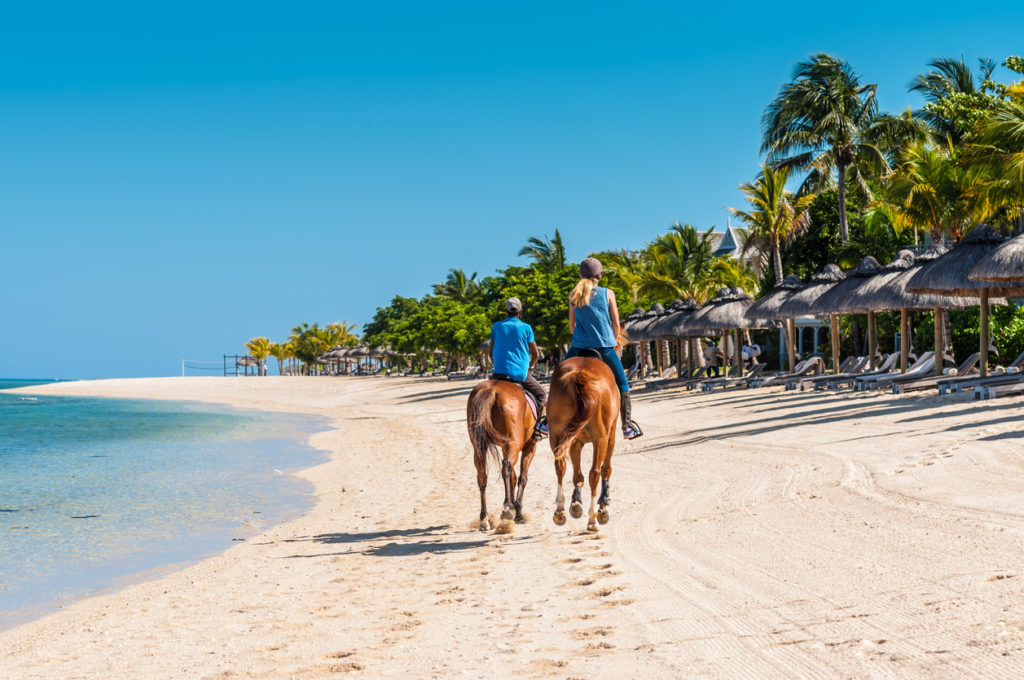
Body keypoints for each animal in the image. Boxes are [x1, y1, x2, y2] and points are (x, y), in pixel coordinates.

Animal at [468, 376, 540, 532]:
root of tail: (491, 389)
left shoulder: (505, 447)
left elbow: (513, 477)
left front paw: (514, 506)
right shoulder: (530, 446)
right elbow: (522, 478)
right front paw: (517, 512)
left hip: (480, 447)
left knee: (483, 476)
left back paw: (484, 519)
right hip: (513, 443)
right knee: (506, 468)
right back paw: (507, 509)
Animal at [552, 352, 614, 532]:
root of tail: (580, 374)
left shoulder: (575, 442)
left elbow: (577, 475)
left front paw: (575, 502)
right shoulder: (610, 436)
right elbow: (606, 469)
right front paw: (603, 505)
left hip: (556, 434)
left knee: (560, 465)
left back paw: (560, 510)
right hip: (601, 438)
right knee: (595, 472)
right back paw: (593, 518)